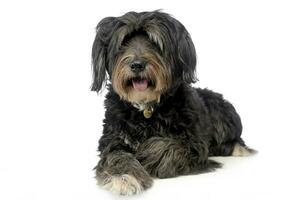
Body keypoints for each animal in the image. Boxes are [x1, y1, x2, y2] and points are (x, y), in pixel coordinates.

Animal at [91, 10, 255, 195]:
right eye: (124, 41)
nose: (137, 65)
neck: (146, 109)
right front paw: (124, 178)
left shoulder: (195, 144)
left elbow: (166, 145)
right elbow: (116, 156)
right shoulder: (112, 140)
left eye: (154, 42)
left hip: (221, 111)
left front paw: (144, 155)